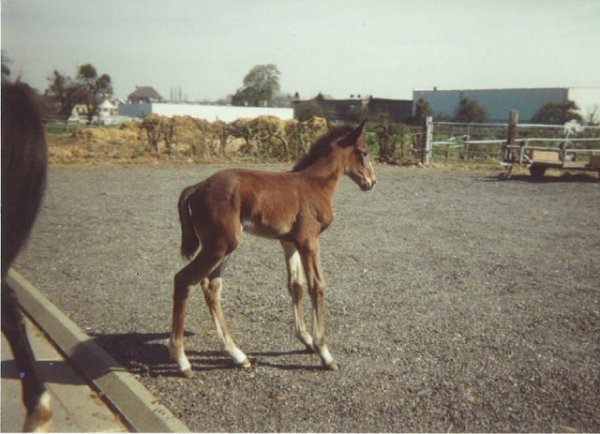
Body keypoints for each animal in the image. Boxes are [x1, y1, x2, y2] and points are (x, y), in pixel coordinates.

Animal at [169, 119, 376, 376]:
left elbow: (296, 285)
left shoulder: (289, 242)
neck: (314, 184)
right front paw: (325, 353)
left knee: (211, 287)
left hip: (224, 247)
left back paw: (238, 356)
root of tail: (197, 187)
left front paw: (306, 340)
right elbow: (317, 286)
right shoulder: (309, 241)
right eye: (364, 152)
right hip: (220, 246)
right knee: (184, 281)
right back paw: (182, 361)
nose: (371, 181)